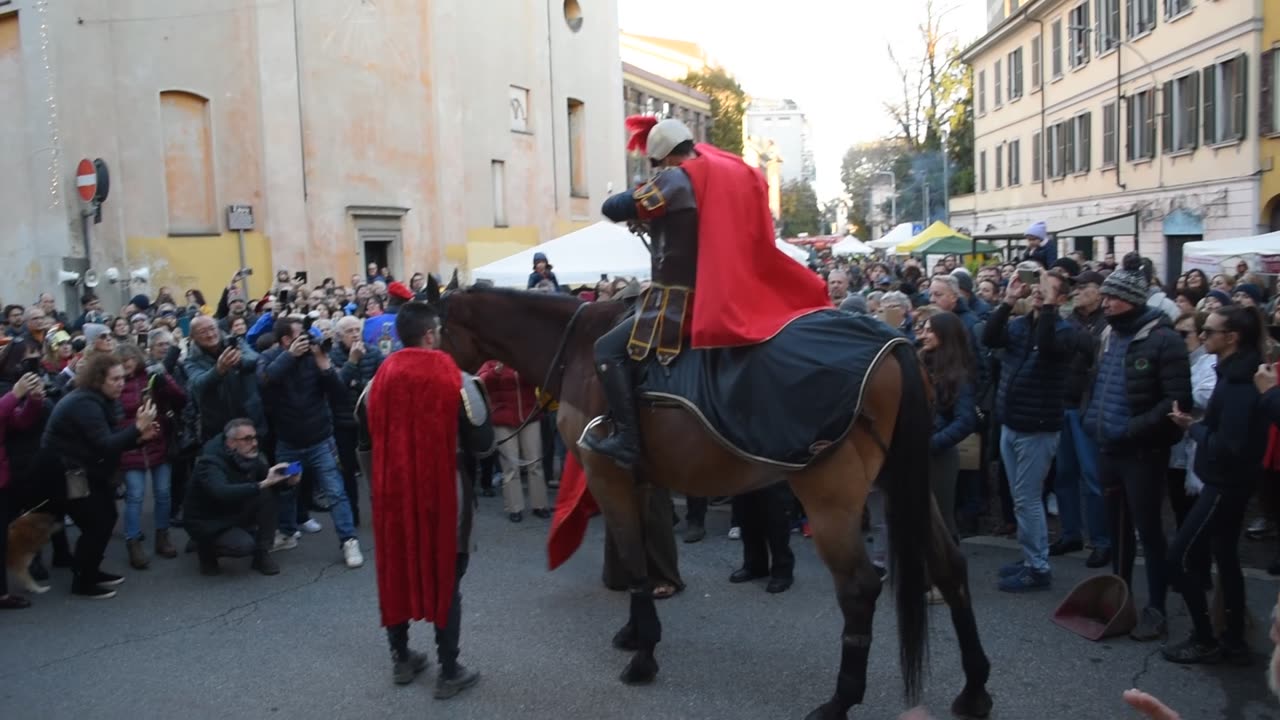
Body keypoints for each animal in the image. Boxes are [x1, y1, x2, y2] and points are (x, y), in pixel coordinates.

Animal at [440, 285, 988, 717]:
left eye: (438, 331)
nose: (453, 390)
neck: (578, 350)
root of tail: (894, 344)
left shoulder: (606, 475)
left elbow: (634, 560)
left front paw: (643, 657)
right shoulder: (639, 481)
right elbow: (640, 554)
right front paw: (634, 632)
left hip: (831, 498)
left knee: (858, 588)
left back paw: (840, 700)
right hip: (903, 482)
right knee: (950, 566)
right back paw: (974, 688)